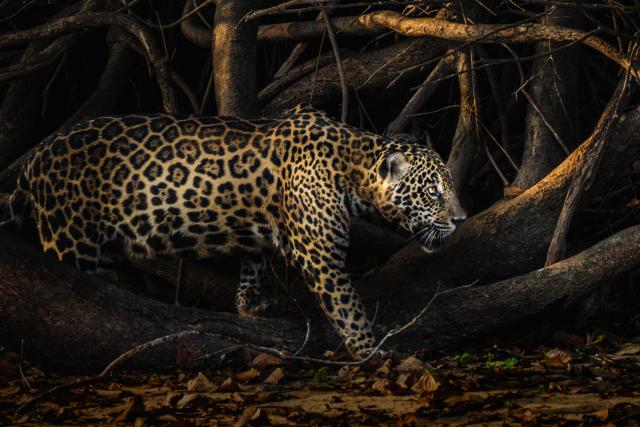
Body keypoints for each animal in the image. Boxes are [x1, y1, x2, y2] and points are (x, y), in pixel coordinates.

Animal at [0, 104, 466, 358]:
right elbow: (348, 309)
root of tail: (34, 158)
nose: (461, 219)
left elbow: (254, 260)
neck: (352, 166)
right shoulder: (322, 256)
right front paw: (371, 352)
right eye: (432, 192)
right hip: (69, 236)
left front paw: (249, 305)